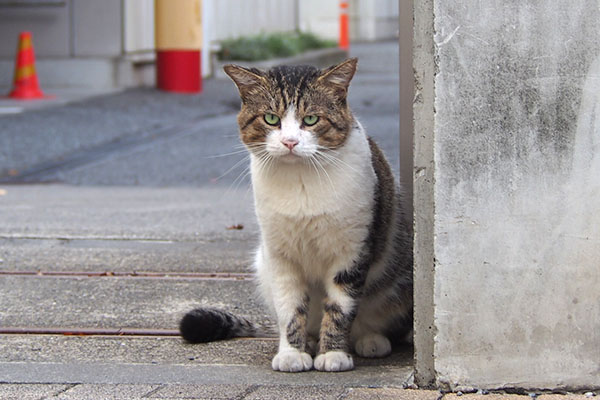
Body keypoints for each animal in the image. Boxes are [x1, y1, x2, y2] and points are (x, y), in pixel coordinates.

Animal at [178, 57, 412, 372]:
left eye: (311, 119)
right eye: (271, 119)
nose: (289, 141)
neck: (301, 182)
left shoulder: (351, 252)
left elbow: (340, 308)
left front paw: (333, 354)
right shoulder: (281, 256)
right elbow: (290, 310)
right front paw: (292, 353)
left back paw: (370, 340)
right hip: (262, 263)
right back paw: (311, 341)